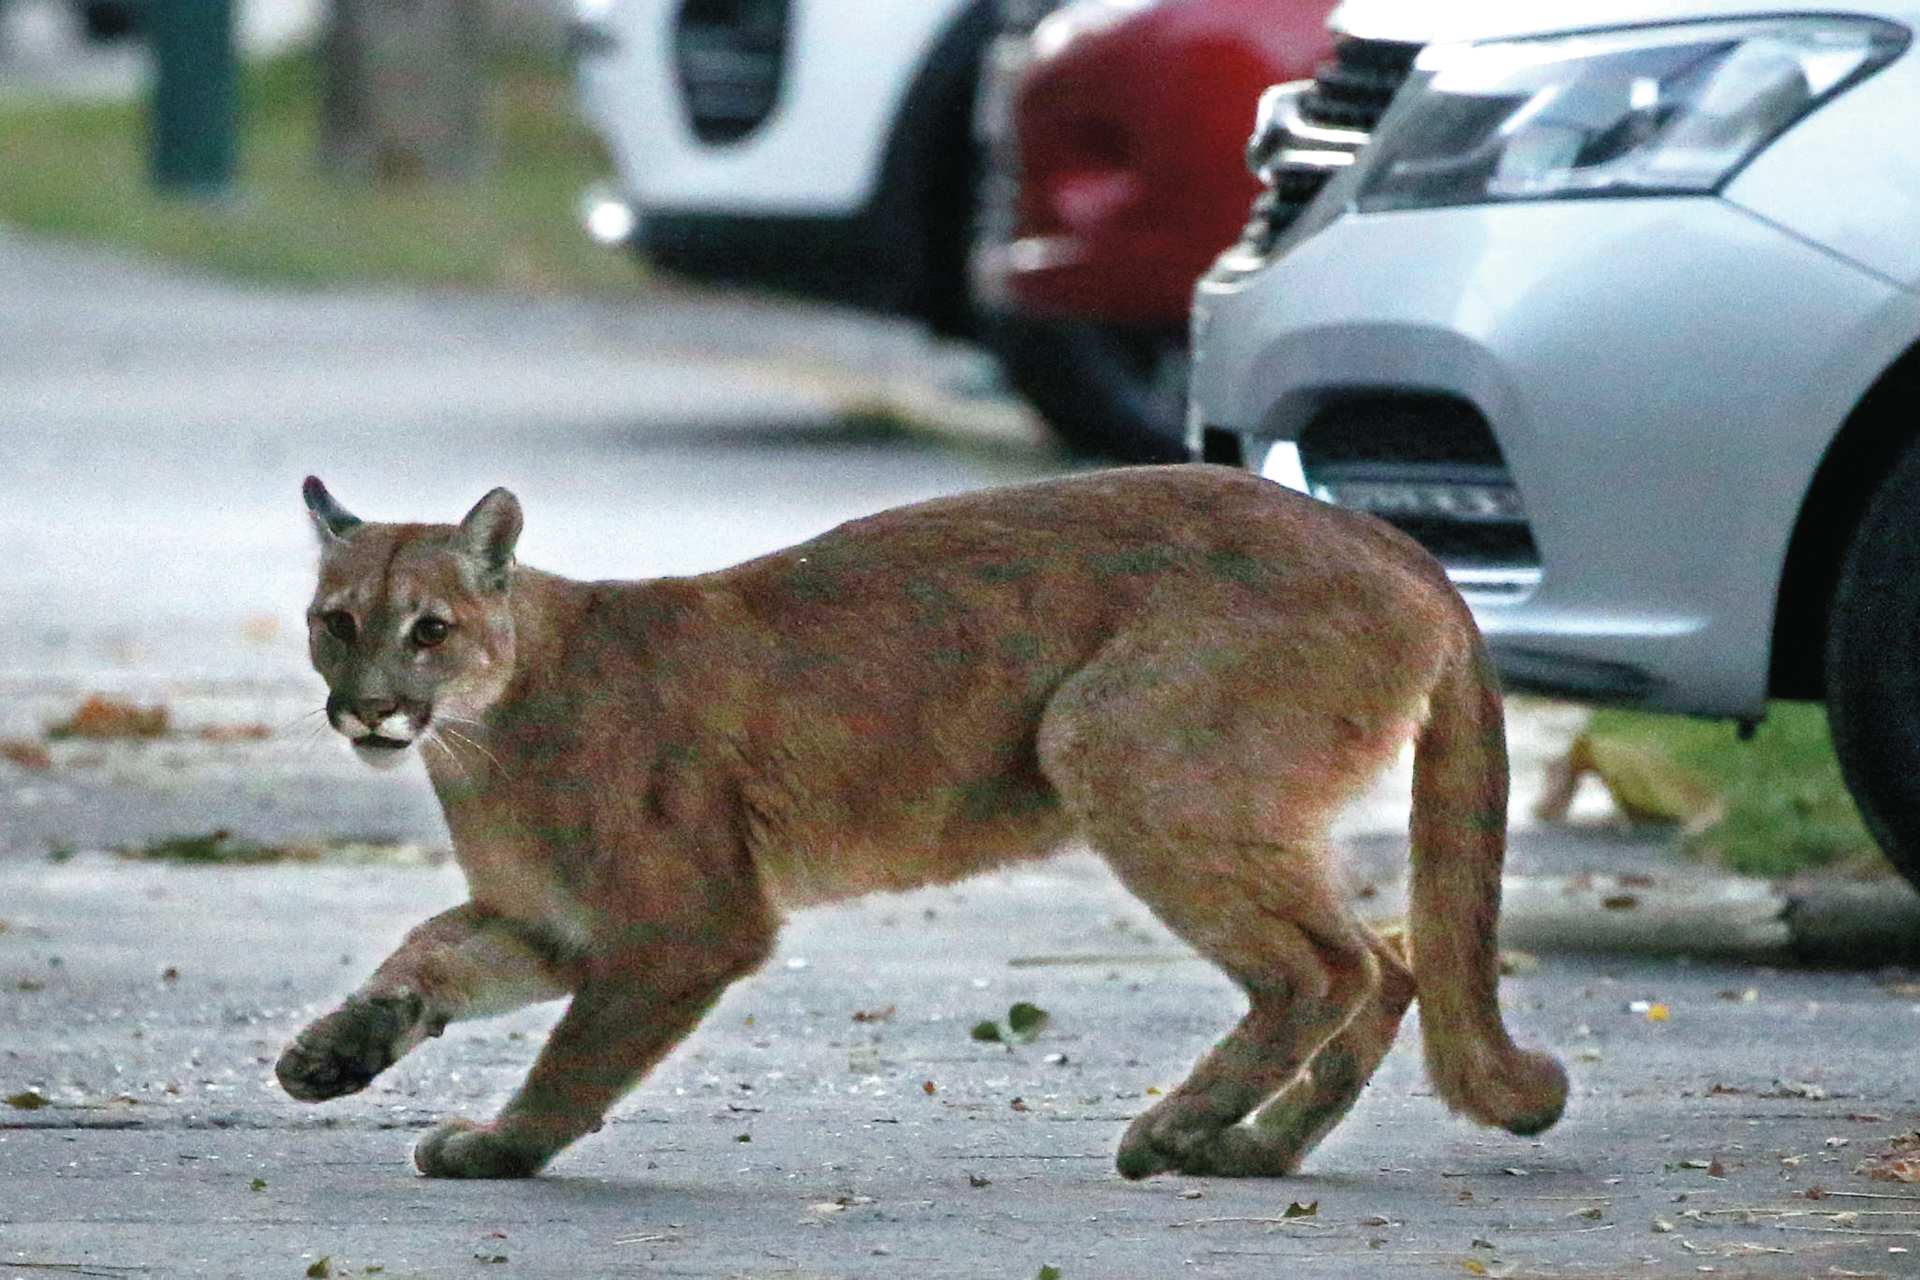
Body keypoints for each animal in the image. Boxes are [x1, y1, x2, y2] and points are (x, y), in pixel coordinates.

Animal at [278, 468, 1566, 1182]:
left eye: (430, 629)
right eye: (336, 621)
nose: (369, 706)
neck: (481, 734)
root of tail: (1396, 540)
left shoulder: (684, 926)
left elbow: (574, 1056)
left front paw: (503, 1146)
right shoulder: (551, 920)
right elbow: (428, 952)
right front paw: (337, 1049)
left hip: (1111, 741)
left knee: (1326, 965)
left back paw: (1176, 1128)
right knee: (1393, 959)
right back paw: (1252, 1150)